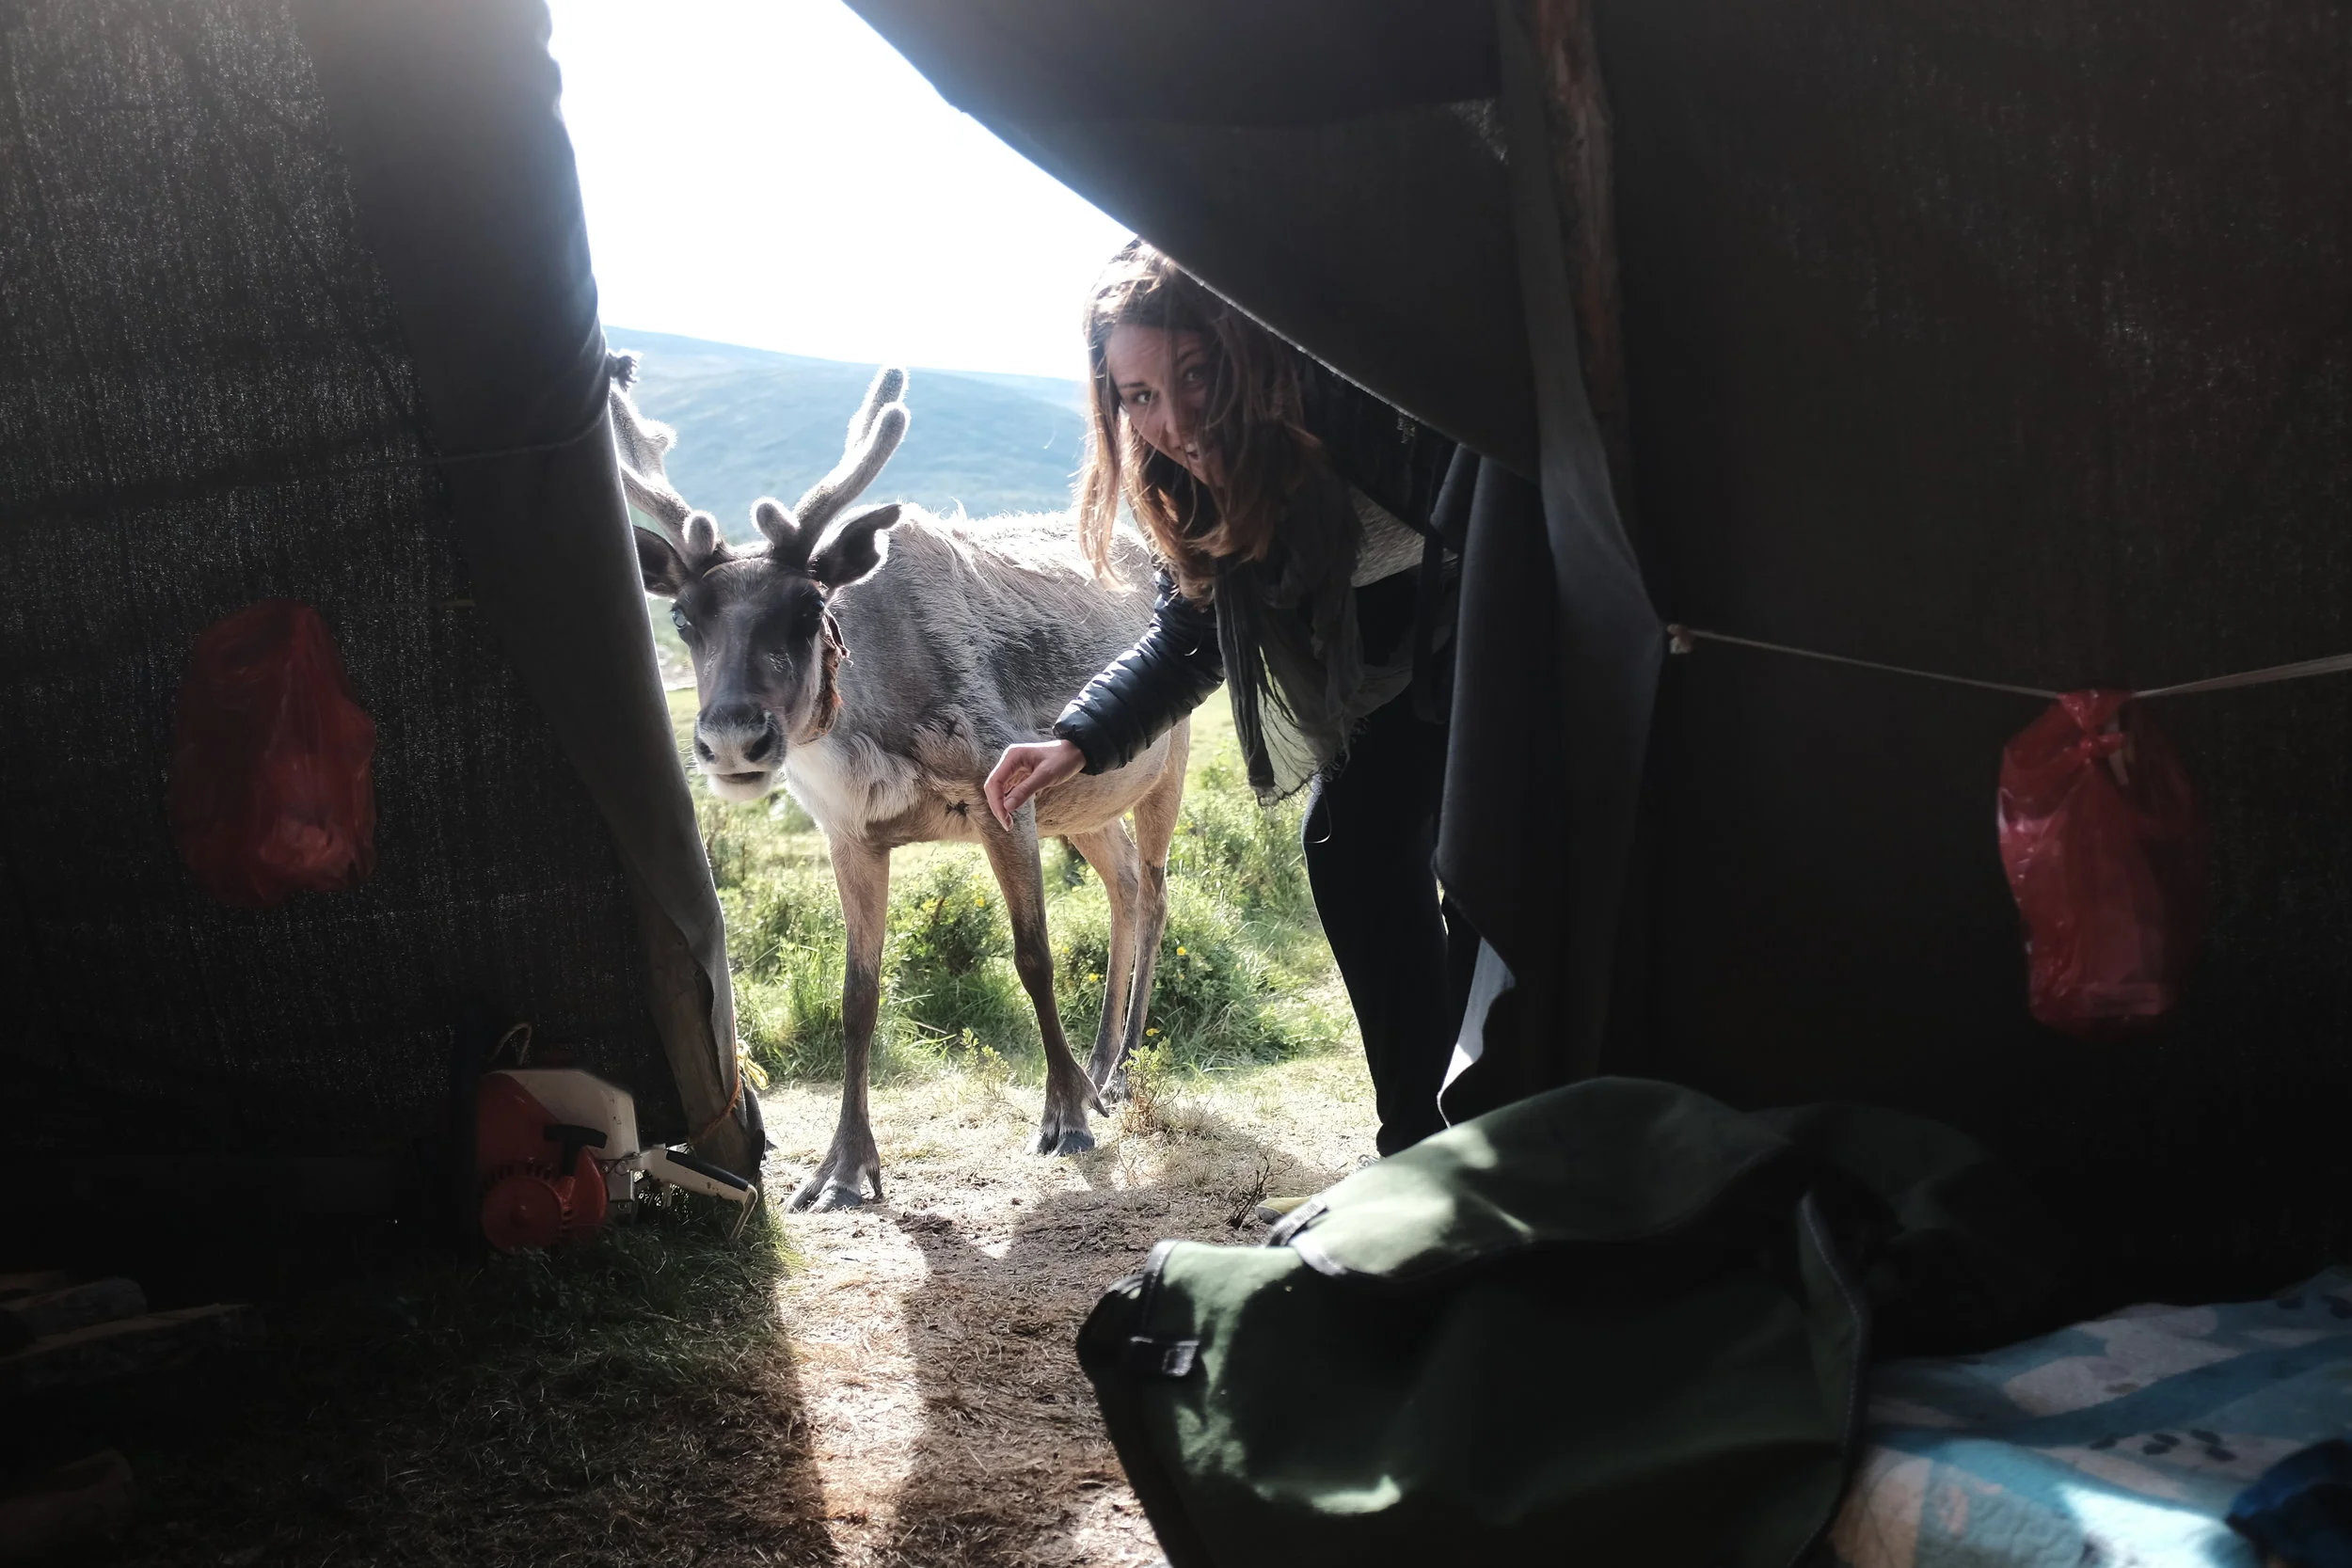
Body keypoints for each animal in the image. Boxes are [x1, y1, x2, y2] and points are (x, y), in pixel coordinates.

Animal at [606, 352, 1188, 1212]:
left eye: (809, 604)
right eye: (681, 617)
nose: (732, 737)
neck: (872, 728)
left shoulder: (1001, 793)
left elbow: (1034, 957)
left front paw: (1066, 1116)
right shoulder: (850, 835)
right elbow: (858, 999)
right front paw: (840, 1169)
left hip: (1165, 760)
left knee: (1151, 893)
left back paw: (1115, 1075)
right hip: (1084, 801)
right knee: (1119, 881)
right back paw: (1100, 1061)